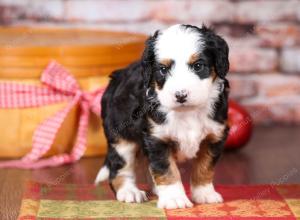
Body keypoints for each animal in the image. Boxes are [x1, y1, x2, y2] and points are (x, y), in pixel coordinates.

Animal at [96, 24, 230, 210]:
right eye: (163, 69)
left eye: (198, 66)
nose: (180, 95)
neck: (186, 112)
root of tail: (117, 77)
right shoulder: (157, 138)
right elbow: (166, 169)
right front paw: (174, 199)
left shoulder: (214, 136)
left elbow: (205, 166)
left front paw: (204, 194)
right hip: (122, 138)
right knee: (120, 168)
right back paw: (129, 192)